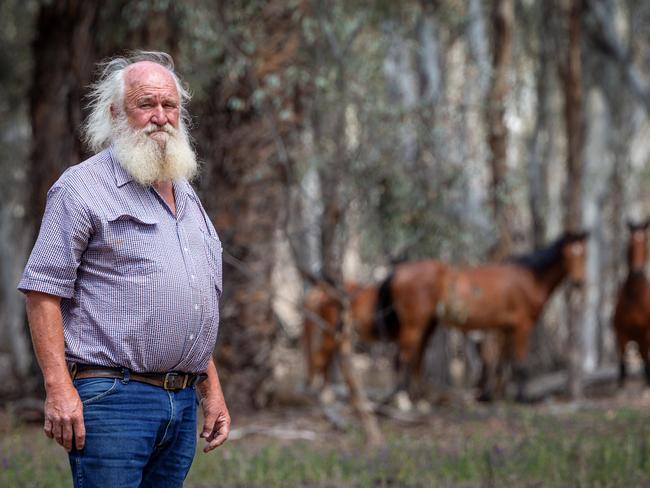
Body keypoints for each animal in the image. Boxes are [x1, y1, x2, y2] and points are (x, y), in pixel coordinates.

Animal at [302, 260, 446, 396]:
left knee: (324, 359)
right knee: (320, 358)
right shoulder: (411, 334)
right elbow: (405, 362)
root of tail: (322, 292)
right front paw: (404, 391)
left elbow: (414, 363)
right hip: (331, 333)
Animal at [436, 232, 588, 400]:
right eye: (567, 255)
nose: (578, 282)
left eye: (584, 255)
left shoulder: (506, 327)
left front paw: (494, 395)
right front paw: (521, 397)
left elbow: (502, 363)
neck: (530, 279)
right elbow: (520, 364)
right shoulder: (522, 325)